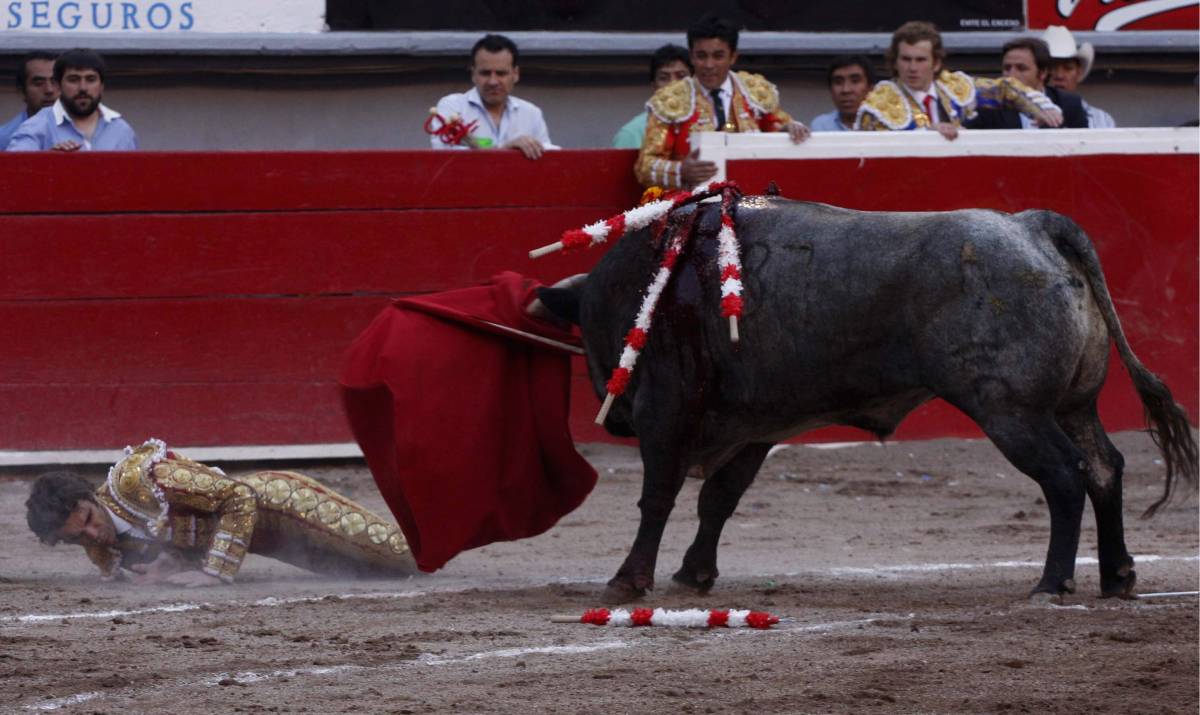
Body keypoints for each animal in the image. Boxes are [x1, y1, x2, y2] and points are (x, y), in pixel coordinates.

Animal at [540, 194, 1195, 602]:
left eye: (585, 332)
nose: (613, 418)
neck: (654, 282)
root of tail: (1033, 226)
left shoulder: (666, 413)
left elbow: (658, 498)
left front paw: (630, 580)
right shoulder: (757, 426)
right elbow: (718, 501)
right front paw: (694, 573)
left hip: (1012, 412)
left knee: (1065, 476)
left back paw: (1052, 584)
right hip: (1073, 406)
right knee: (1106, 468)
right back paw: (1117, 574)